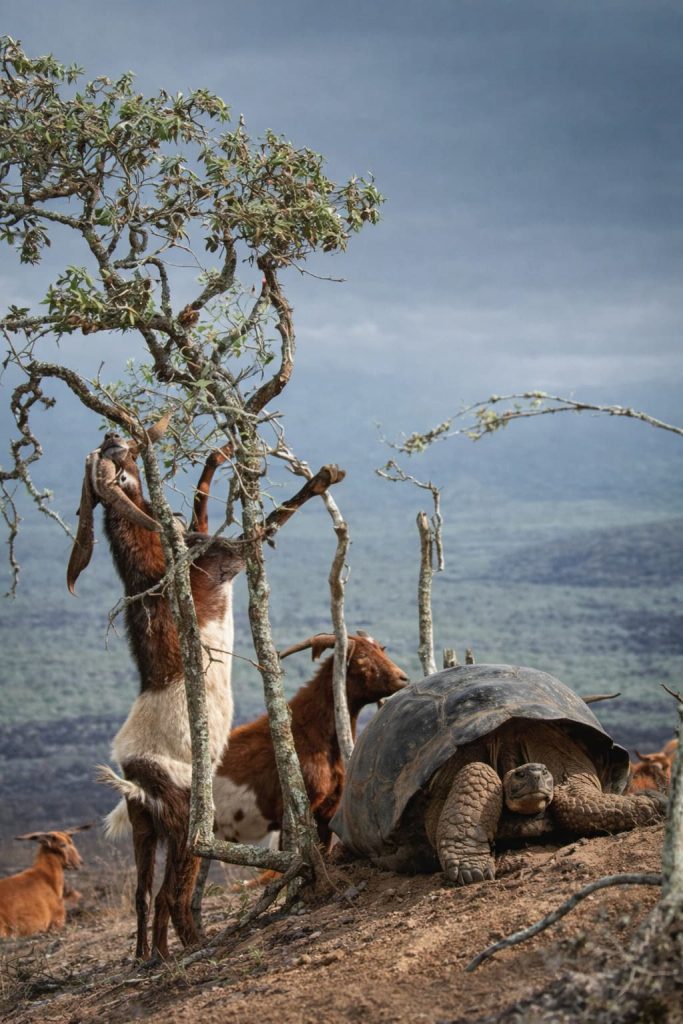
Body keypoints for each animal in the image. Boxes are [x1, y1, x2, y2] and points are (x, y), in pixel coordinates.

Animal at [70, 428, 343, 959]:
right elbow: (270, 521)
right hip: (186, 825)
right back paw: (197, 947)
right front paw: (324, 476)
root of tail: (138, 777)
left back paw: (150, 959)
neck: (156, 575)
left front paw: (222, 452)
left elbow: (199, 505)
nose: (113, 434)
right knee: (172, 895)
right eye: (112, 463)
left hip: (144, 829)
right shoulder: (225, 560)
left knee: (142, 894)